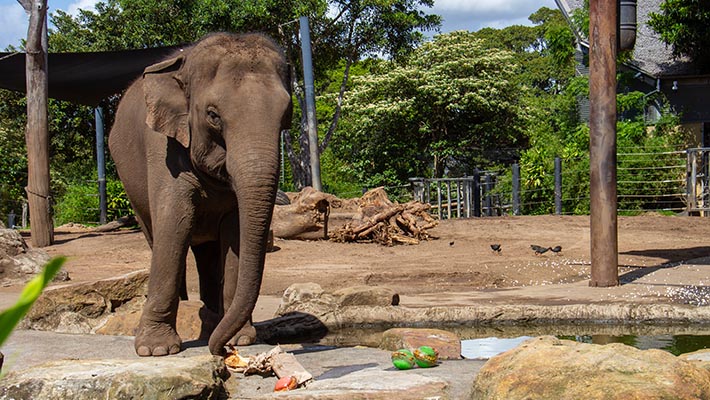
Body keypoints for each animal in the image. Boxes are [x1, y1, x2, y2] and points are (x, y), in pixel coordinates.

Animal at [108, 32, 292, 356]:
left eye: (286, 115)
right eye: (213, 115)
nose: (220, 351)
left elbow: (236, 232)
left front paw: (239, 339)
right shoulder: (163, 148)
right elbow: (174, 221)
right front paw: (156, 350)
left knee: (206, 255)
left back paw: (212, 317)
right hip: (130, 183)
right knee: (158, 237)